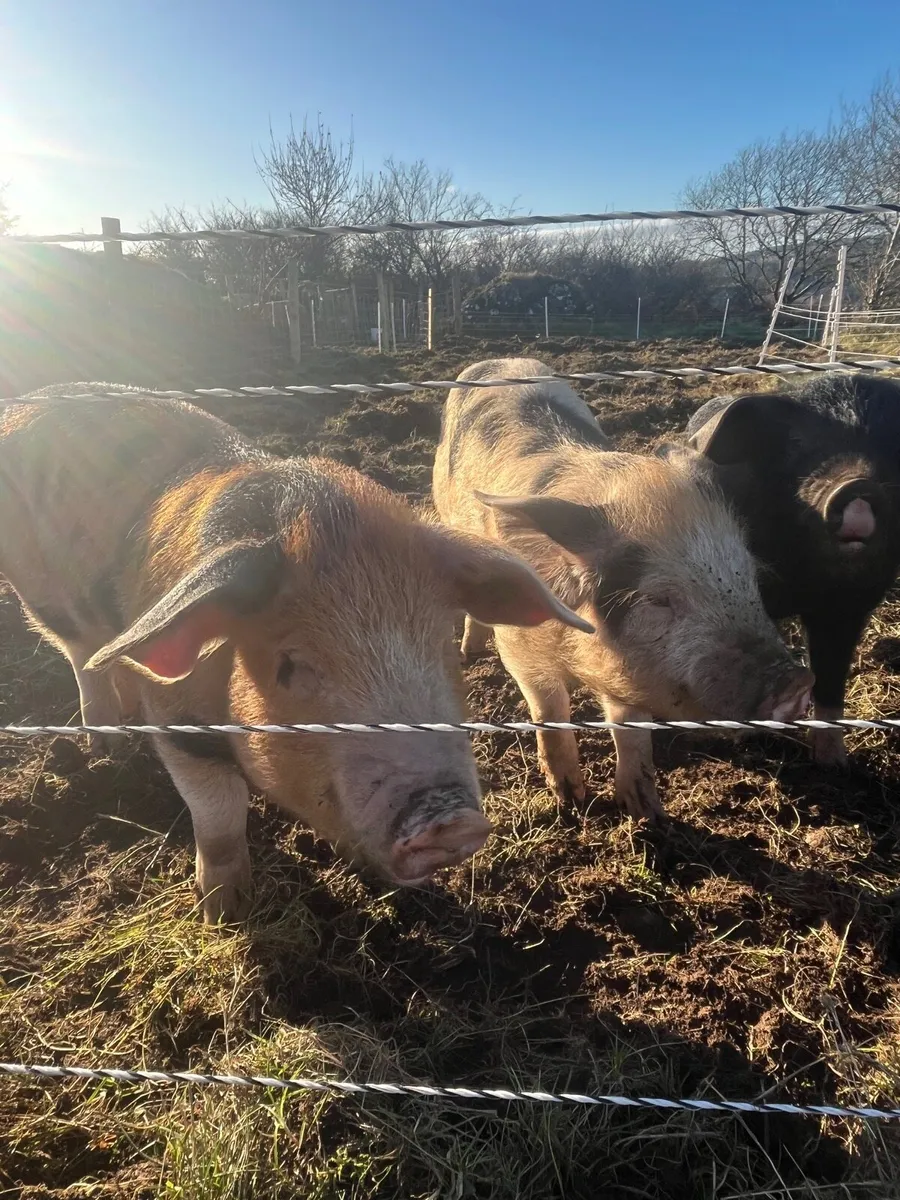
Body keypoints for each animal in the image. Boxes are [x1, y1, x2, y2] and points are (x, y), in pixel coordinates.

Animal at [0, 383, 590, 922]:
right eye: (290, 663)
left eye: (438, 641)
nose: (450, 818)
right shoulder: (180, 726)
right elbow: (219, 816)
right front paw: (224, 914)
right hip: (46, 602)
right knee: (82, 658)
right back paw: (105, 747)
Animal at [433, 358, 813, 821]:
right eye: (657, 599)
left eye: (748, 576)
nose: (797, 680)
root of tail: (500, 362)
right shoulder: (521, 651)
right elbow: (548, 709)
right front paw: (570, 801)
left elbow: (630, 729)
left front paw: (646, 811)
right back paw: (468, 654)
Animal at [684, 371, 900, 765]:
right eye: (799, 445)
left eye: (897, 447)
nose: (859, 486)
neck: (803, 579)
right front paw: (745, 736)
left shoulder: (850, 608)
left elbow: (831, 680)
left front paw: (834, 764)